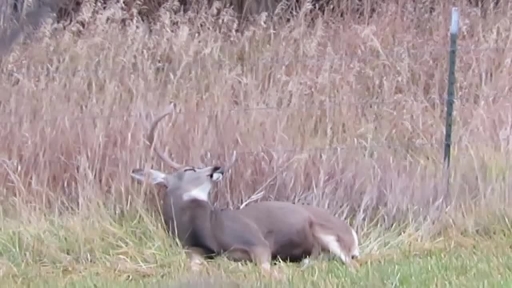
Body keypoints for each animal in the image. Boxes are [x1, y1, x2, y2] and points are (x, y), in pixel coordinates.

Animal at [128, 107, 282, 278]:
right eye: (189, 169)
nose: (218, 167)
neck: (209, 229)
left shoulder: (257, 241)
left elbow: (267, 270)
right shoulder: (192, 248)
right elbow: (194, 265)